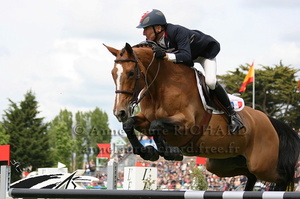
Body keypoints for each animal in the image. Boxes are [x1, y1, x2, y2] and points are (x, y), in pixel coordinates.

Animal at [103, 42, 300, 190]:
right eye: (113, 74)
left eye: (131, 73)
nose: (119, 112)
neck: (160, 87)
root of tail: (270, 121)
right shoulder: (145, 118)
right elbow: (130, 124)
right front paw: (148, 152)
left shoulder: (187, 123)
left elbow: (156, 125)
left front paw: (170, 152)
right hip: (222, 164)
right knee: (250, 175)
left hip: (263, 165)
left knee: (283, 177)